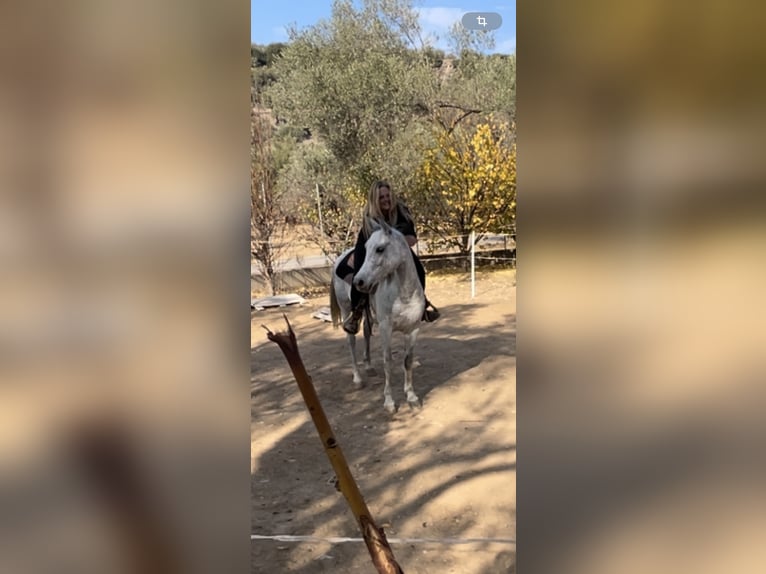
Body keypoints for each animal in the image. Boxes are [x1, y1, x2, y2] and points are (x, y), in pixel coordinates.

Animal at [330, 219, 425, 413]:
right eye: (366, 248)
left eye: (380, 249)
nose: (359, 281)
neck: (404, 295)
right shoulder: (385, 328)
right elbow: (387, 362)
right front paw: (389, 401)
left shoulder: (413, 329)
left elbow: (408, 361)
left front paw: (411, 397)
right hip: (345, 310)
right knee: (351, 341)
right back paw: (357, 378)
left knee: (366, 332)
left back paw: (368, 366)